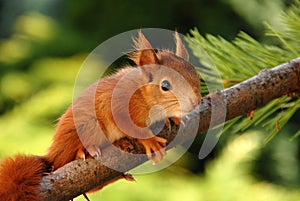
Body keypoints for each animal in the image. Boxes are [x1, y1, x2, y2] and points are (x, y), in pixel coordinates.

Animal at [1, 30, 202, 200]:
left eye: (196, 75)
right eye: (165, 86)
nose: (196, 102)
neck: (142, 94)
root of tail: (52, 157)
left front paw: (172, 119)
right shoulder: (119, 105)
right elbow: (131, 127)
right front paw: (150, 141)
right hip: (87, 127)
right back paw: (85, 150)